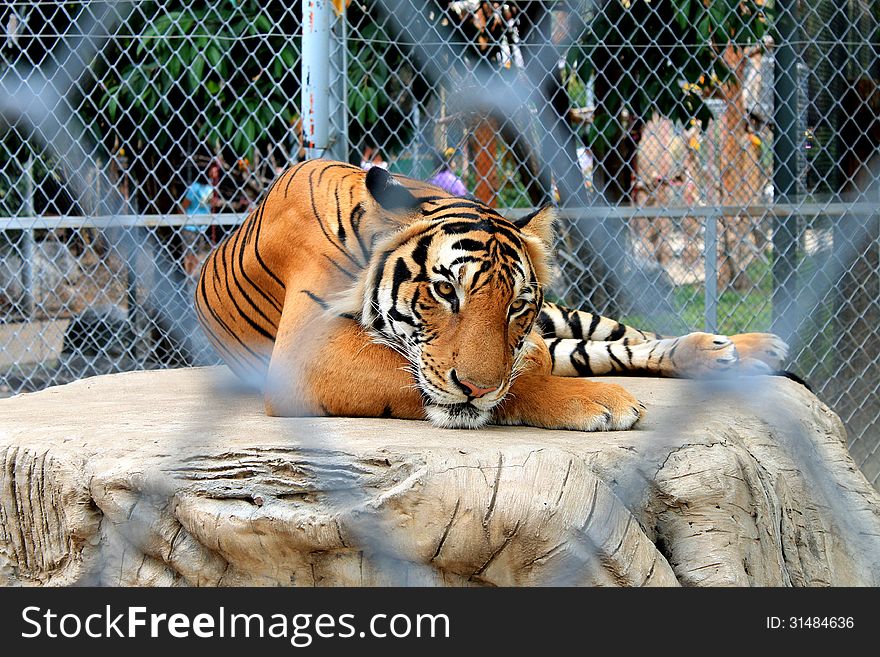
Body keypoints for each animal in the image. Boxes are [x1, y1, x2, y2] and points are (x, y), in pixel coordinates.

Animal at [196, 160, 788, 430]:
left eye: (516, 306)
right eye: (444, 291)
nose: (475, 387)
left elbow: (521, 368)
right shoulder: (304, 350)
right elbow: (510, 378)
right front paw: (594, 401)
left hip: (570, 321)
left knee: (625, 339)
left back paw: (747, 348)